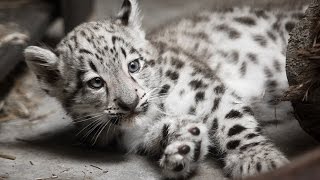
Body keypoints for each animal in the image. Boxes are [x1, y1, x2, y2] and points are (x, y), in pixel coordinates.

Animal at [23, 0, 304, 179]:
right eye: (95, 82)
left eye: (133, 65)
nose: (130, 103)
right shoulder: (142, 135)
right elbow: (163, 132)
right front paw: (185, 146)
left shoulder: (209, 92)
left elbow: (233, 123)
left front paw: (258, 160)